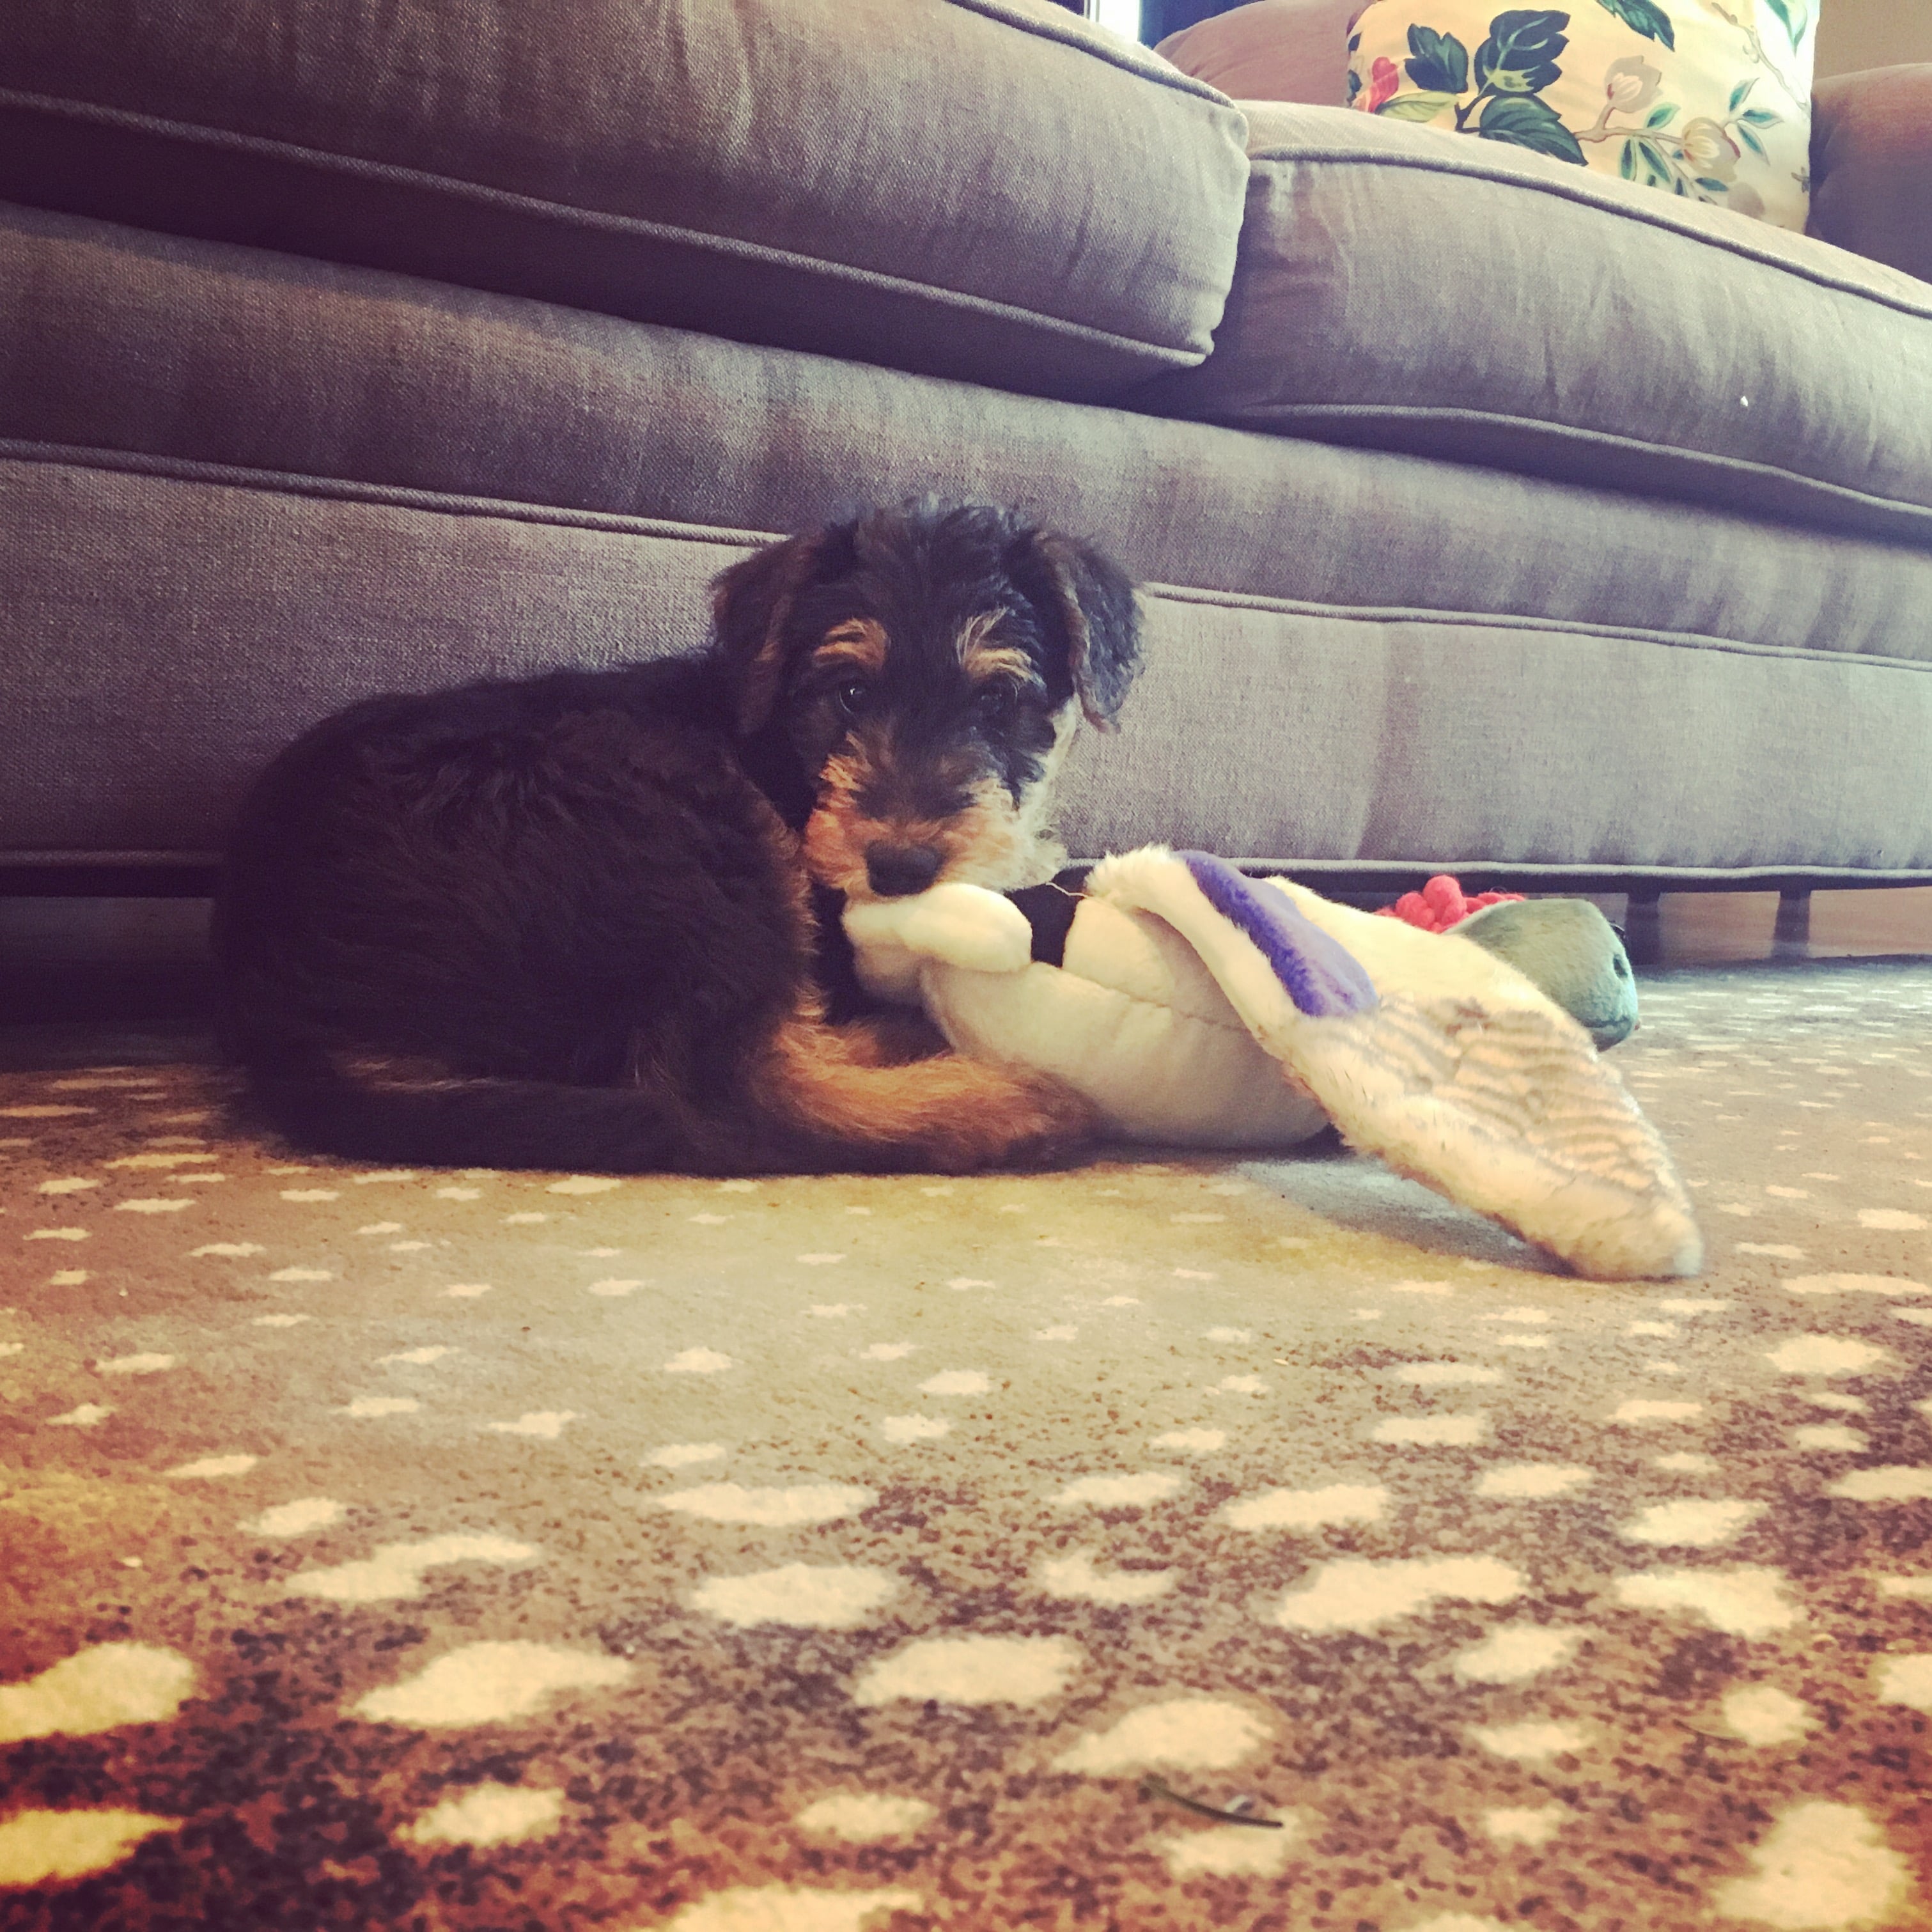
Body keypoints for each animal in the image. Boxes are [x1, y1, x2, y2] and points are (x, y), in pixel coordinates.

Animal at [212, 501, 1141, 1175]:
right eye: (848, 692)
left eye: (996, 701)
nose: (901, 865)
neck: (776, 744)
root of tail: (278, 1002)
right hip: (700, 833)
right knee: (737, 1093)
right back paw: (1006, 1103)